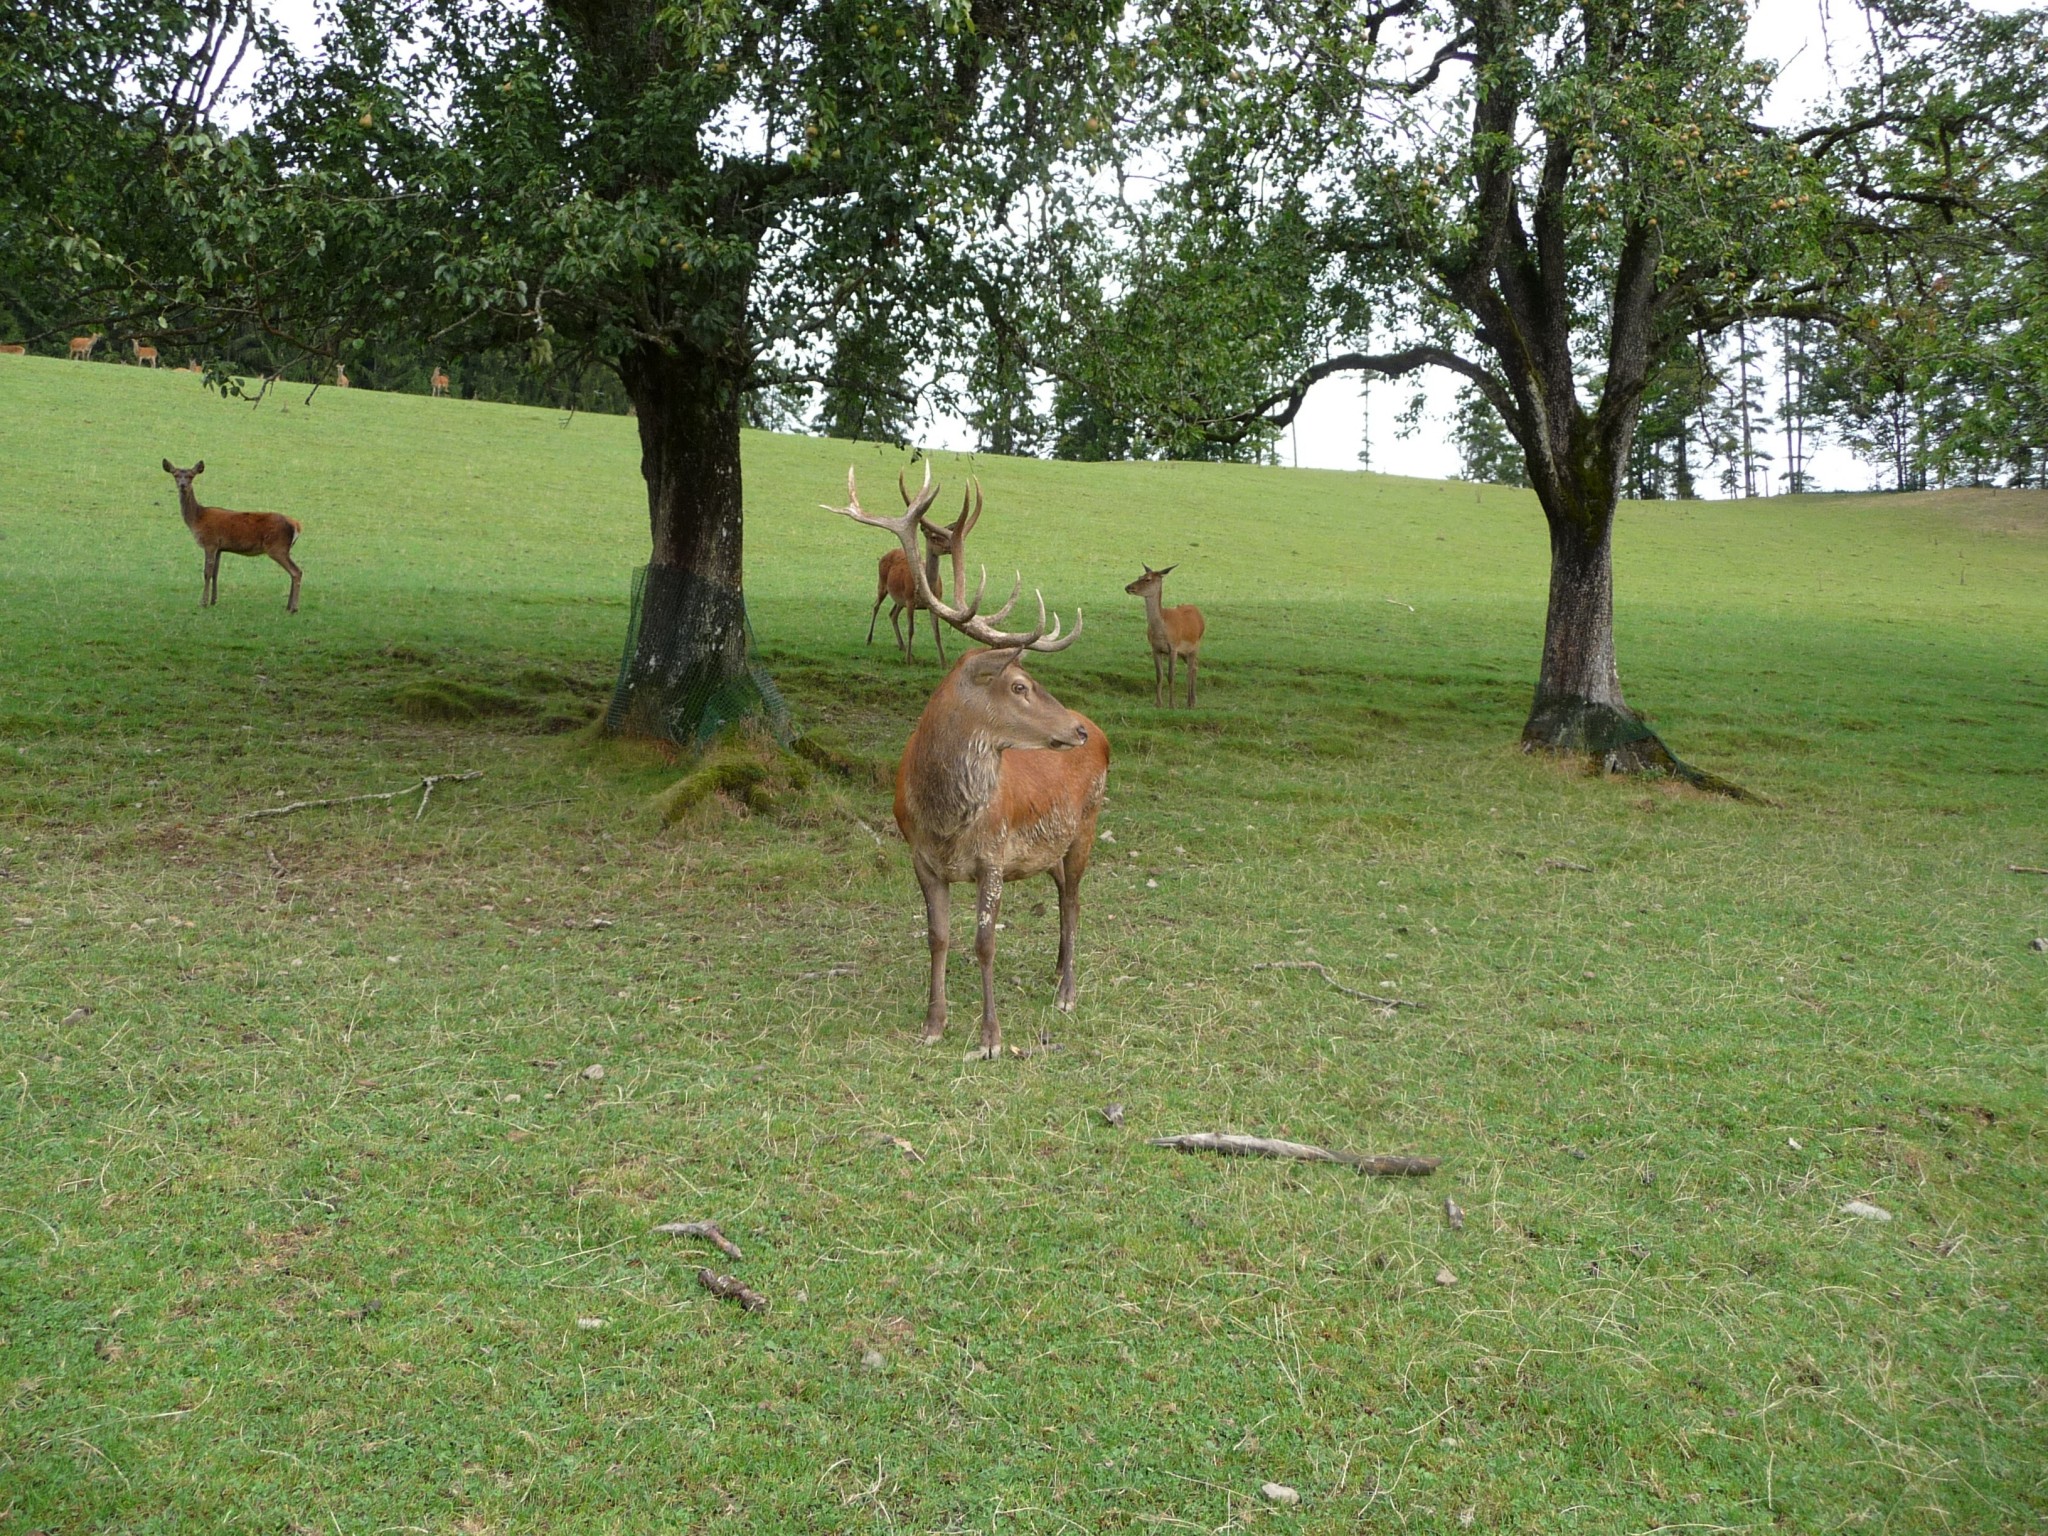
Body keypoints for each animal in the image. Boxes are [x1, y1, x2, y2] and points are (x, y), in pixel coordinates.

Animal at [162, 460, 303, 618]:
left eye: (191, 476)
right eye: (175, 475)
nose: (182, 485)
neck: (197, 519)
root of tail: (296, 525)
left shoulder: (210, 542)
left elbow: (207, 573)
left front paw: (203, 602)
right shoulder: (219, 548)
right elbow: (215, 573)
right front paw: (213, 600)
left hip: (277, 547)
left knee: (296, 572)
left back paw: (294, 608)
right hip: (283, 549)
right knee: (293, 572)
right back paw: (288, 606)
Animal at [1130, 565, 1204, 708]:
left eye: (1148, 579)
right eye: (1139, 576)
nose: (1128, 587)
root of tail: (1199, 615)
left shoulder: (1173, 647)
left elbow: (1171, 675)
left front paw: (1172, 704)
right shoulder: (1155, 648)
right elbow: (1159, 675)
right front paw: (1158, 703)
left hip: (1195, 645)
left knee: (1191, 668)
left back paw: (1191, 702)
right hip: (1185, 652)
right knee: (1194, 666)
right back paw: (1191, 700)